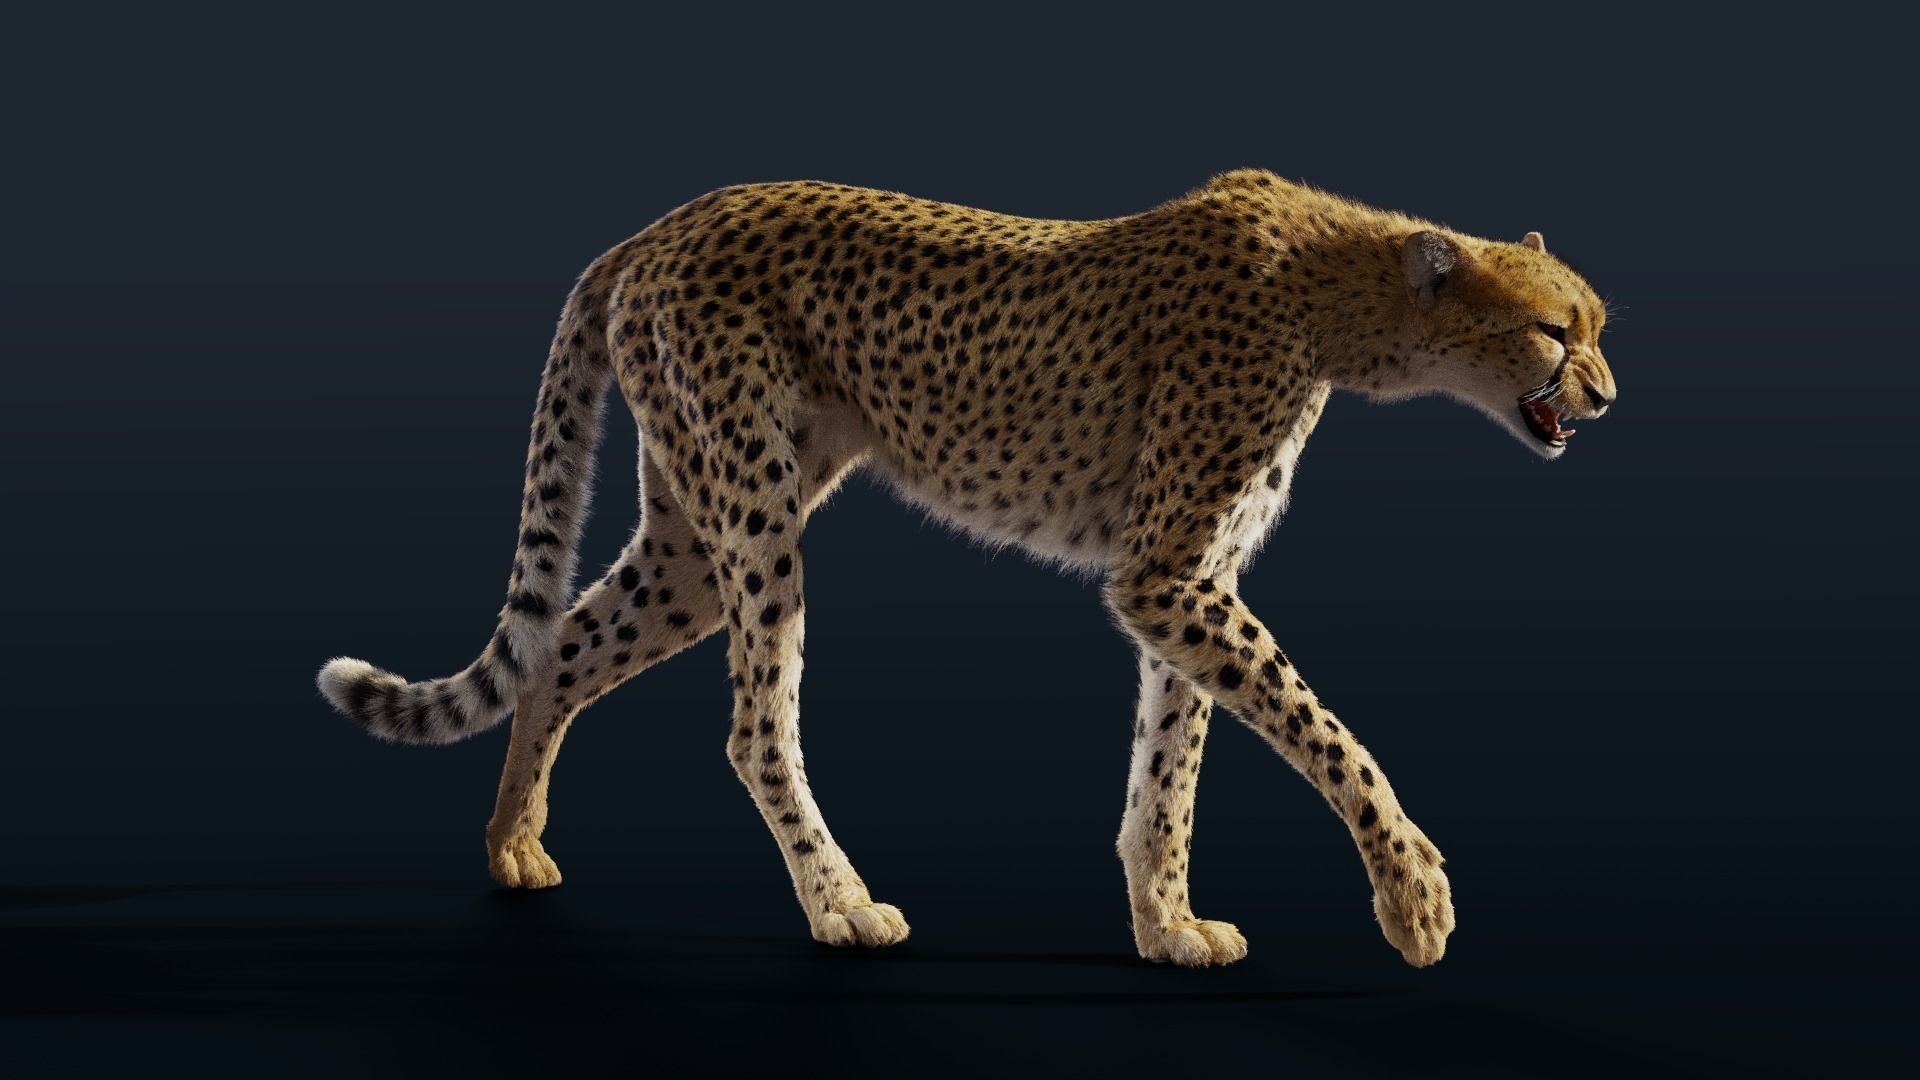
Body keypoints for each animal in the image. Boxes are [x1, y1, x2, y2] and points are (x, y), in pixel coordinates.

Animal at [317, 168, 1615, 967]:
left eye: (1598, 325)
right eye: (1555, 330)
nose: (1606, 395)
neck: (1344, 300)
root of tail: (665, 220)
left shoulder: (1187, 584)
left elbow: (1172, 764)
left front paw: (1167, 923)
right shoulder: (1168, 576)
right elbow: (1320, 729)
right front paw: (1414, 893)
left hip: (691, 536)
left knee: (566, 649)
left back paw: (512, 847)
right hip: (752, 511)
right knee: (753, 725)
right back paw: (841, 906)